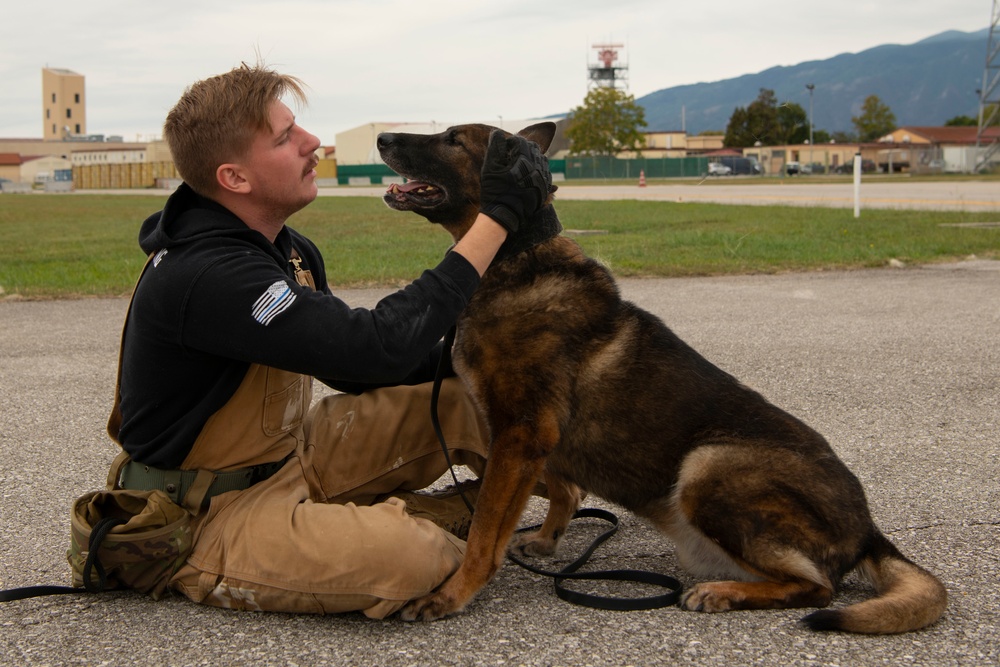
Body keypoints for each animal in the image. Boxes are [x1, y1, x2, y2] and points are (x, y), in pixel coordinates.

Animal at [376, 122, 944, 636]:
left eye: (453, 138)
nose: (382, 137)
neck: (514, 255)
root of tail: (867, 529)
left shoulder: (522, 434)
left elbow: (484, 533)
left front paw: (452, 594)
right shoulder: (533, 440)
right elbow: (561, 489)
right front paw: (547, 538)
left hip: (706, 466)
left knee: (819, 587)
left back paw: (724, 592)